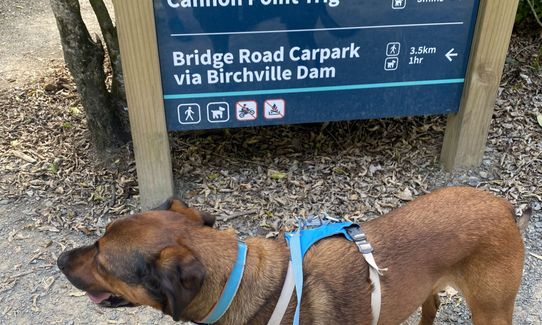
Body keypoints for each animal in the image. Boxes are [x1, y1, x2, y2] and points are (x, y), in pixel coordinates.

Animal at [57, 186, 528, 322]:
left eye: (101, 260)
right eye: (97, 241)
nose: (61, 260)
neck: (237, 283)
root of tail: (504, 206)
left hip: (492, 310)